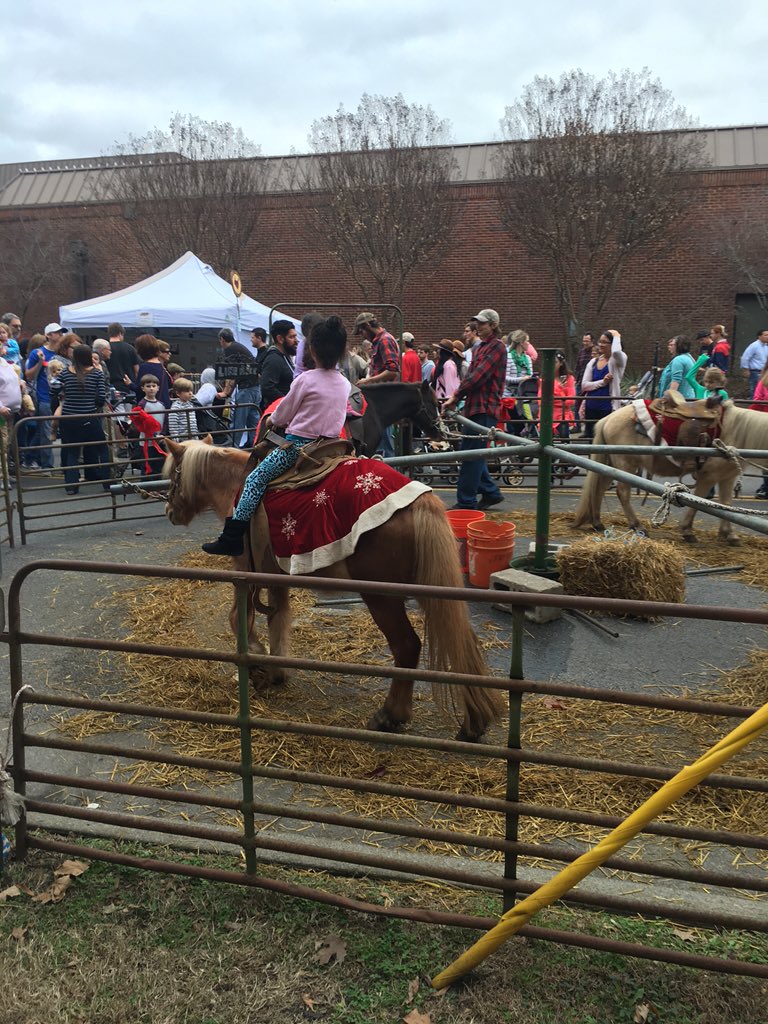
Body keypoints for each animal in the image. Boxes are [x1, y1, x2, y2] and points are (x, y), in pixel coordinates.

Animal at [163, 436, 505, 741]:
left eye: (174, 474)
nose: (169, 513)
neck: (237, 485)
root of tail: (419, 501)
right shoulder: (275, 577)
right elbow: (277, 619)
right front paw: (275, 671)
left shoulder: (245, 571)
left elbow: (239, 618)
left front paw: (257, 659)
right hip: (432, 589)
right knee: (460, 637)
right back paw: (475, 722)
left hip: (382, 597)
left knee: (407, 646)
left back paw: (390, 716)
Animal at [573, 399, 768, 544]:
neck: (737, 431)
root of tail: (608, 419)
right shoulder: (709, 477)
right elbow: (700, 501)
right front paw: (687, 530)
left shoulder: (727, 477)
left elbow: (727, 504)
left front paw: (729, 534)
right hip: (625, 464)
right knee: (622, 492)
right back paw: (637, 526)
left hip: (612, 465)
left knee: (599, 489)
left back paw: (598, 523)